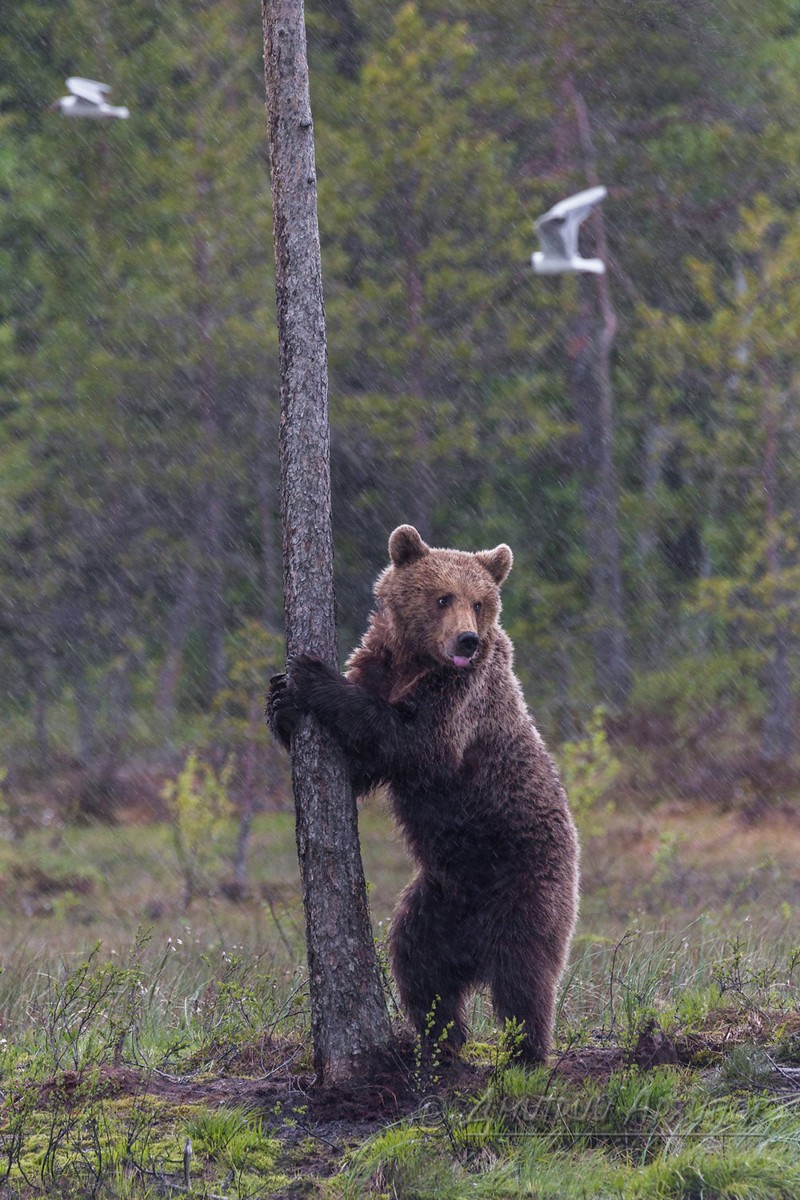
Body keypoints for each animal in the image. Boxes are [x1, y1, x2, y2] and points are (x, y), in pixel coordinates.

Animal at [271, 525, 582, 1060]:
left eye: (479, 602)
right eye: (442, 597)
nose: (467, 638)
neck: (415, 660)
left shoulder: (462, 698)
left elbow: (408, 740)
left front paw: (313, 675)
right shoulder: (380, 663)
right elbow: (358, 767)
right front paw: (280, 700)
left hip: (530, 883)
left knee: (524, 973)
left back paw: (526, 1052)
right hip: (439, 899)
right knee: (419, 962)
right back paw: (440, 1040)